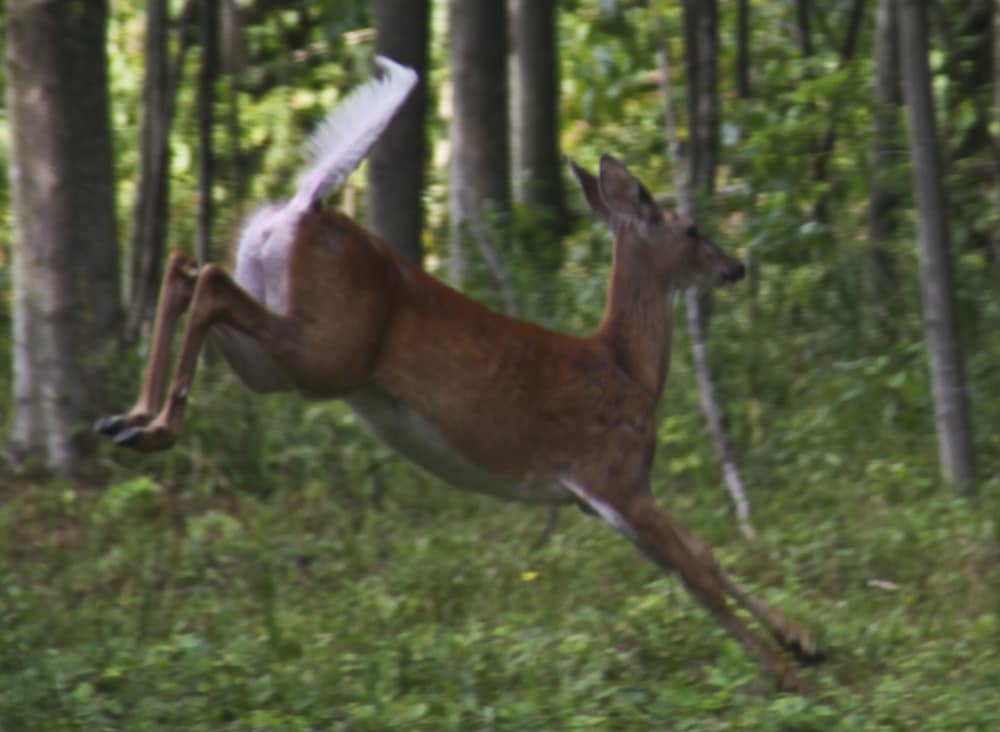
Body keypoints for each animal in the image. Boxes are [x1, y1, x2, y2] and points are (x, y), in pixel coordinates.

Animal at [97, 55, 824, 692]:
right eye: (694, 228)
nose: (736, 267)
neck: (630, 369)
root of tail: (306, 207)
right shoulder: (612, 475)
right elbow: (695, 572)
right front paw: (790, 675)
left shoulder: (600, 499)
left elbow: (701, 555)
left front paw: (804, 643)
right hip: (327, 352)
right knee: (208, 281)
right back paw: (153, 426)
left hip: (274, 359)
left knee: (186, 268)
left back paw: (129, 418)